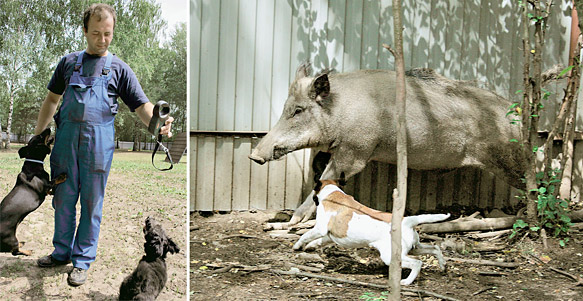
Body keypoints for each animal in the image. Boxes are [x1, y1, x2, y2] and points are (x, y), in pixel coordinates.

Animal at [294, 178, 450, 284]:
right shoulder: (329, 235)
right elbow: (318, 241)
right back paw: (443, 266)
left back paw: (406, 282)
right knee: (434, 248)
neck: (332, 194)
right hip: (414, 248)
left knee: (417, 263)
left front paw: (297, 246)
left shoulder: (320, 228)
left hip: (391, 256)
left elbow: (305, 235)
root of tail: (407, 221)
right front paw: (310, 247)